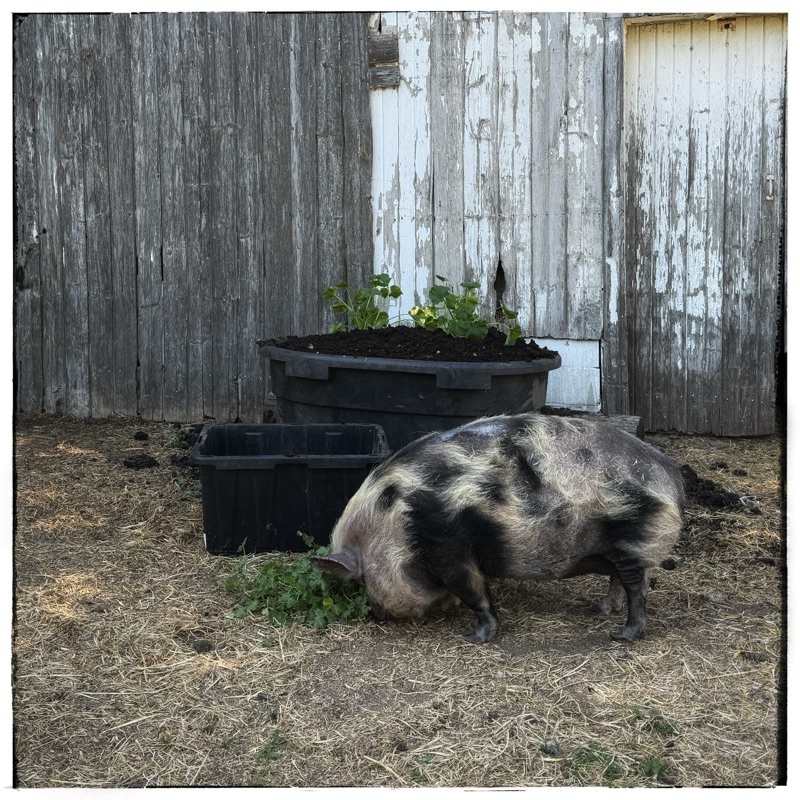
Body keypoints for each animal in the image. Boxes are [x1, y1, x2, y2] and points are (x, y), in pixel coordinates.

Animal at [311, 413, 684, 643]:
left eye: (363, 579)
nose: (376, 614)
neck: (393, 519)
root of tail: (669, 473)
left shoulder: (448, 546)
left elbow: (474, 591)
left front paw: (472, 637)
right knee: (619, 581)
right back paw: (602, 610)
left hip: (635, 540)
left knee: (638, 588)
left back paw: (621, 634)